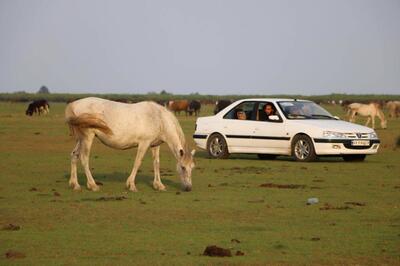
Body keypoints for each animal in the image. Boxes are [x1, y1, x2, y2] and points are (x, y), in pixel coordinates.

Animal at [65, 96, 195, 192]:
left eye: (192, 167)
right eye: (183, 167)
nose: (189, 188)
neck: (159, 118)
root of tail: (74, 104)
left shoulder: (155, 145)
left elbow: (156, 163)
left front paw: (159, 185)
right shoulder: (144, 143)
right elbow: (137, 162)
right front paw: (131, 185)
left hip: (81, 139)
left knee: (74, 155)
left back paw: (75, 185)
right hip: (88, 137)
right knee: (84, 158)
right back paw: (92, 185)